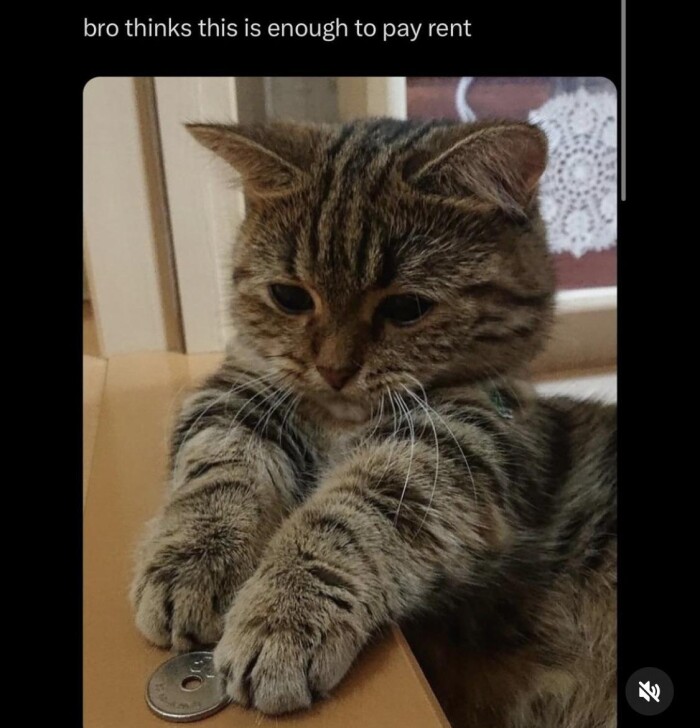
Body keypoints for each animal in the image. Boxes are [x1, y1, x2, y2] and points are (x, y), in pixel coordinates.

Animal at [131, 118, 616, 728]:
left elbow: (346, 517)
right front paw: (193, 561)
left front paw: (283, 614)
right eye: (289, 297)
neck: (341, 421)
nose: (334, 371)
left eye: (406, 308)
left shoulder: (458, 448)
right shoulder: (236, 396)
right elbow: (219, 470)